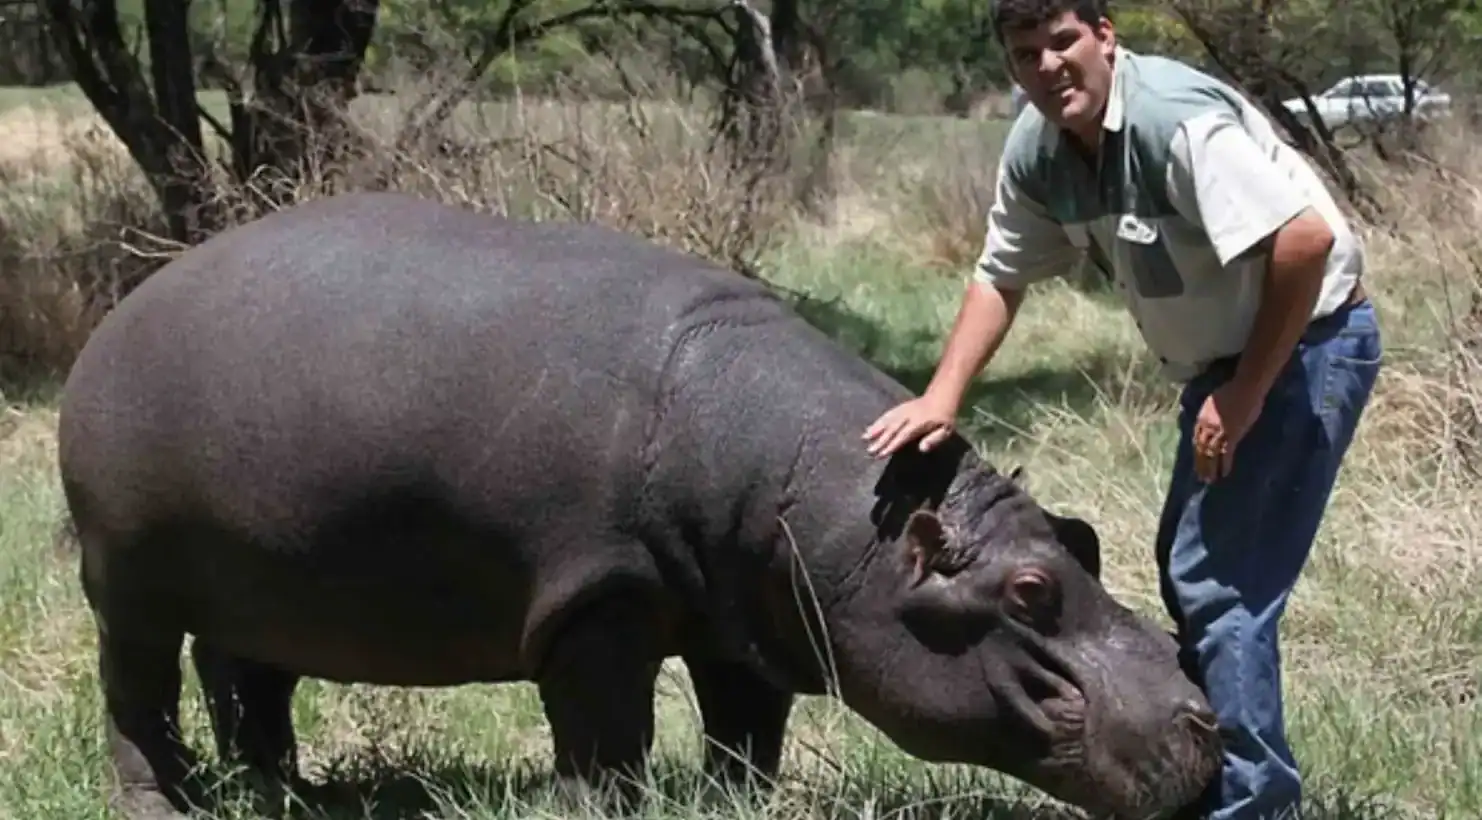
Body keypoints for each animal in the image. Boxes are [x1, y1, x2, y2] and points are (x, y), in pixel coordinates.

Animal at [56, 191, 1220, 819]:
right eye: (1026, 591)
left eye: (1084, 542)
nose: (1204, 717)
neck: (854, 525)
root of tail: (123, 311)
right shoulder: (596, 603)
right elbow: (609, 733)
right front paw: (605, 804)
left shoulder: (746, 616)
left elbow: (747, 729)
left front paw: (740, 801)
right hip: (128, 584)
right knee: (138, 697)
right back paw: (161, 802)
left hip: (261, 579)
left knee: (249, 681)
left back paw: (285, 795)